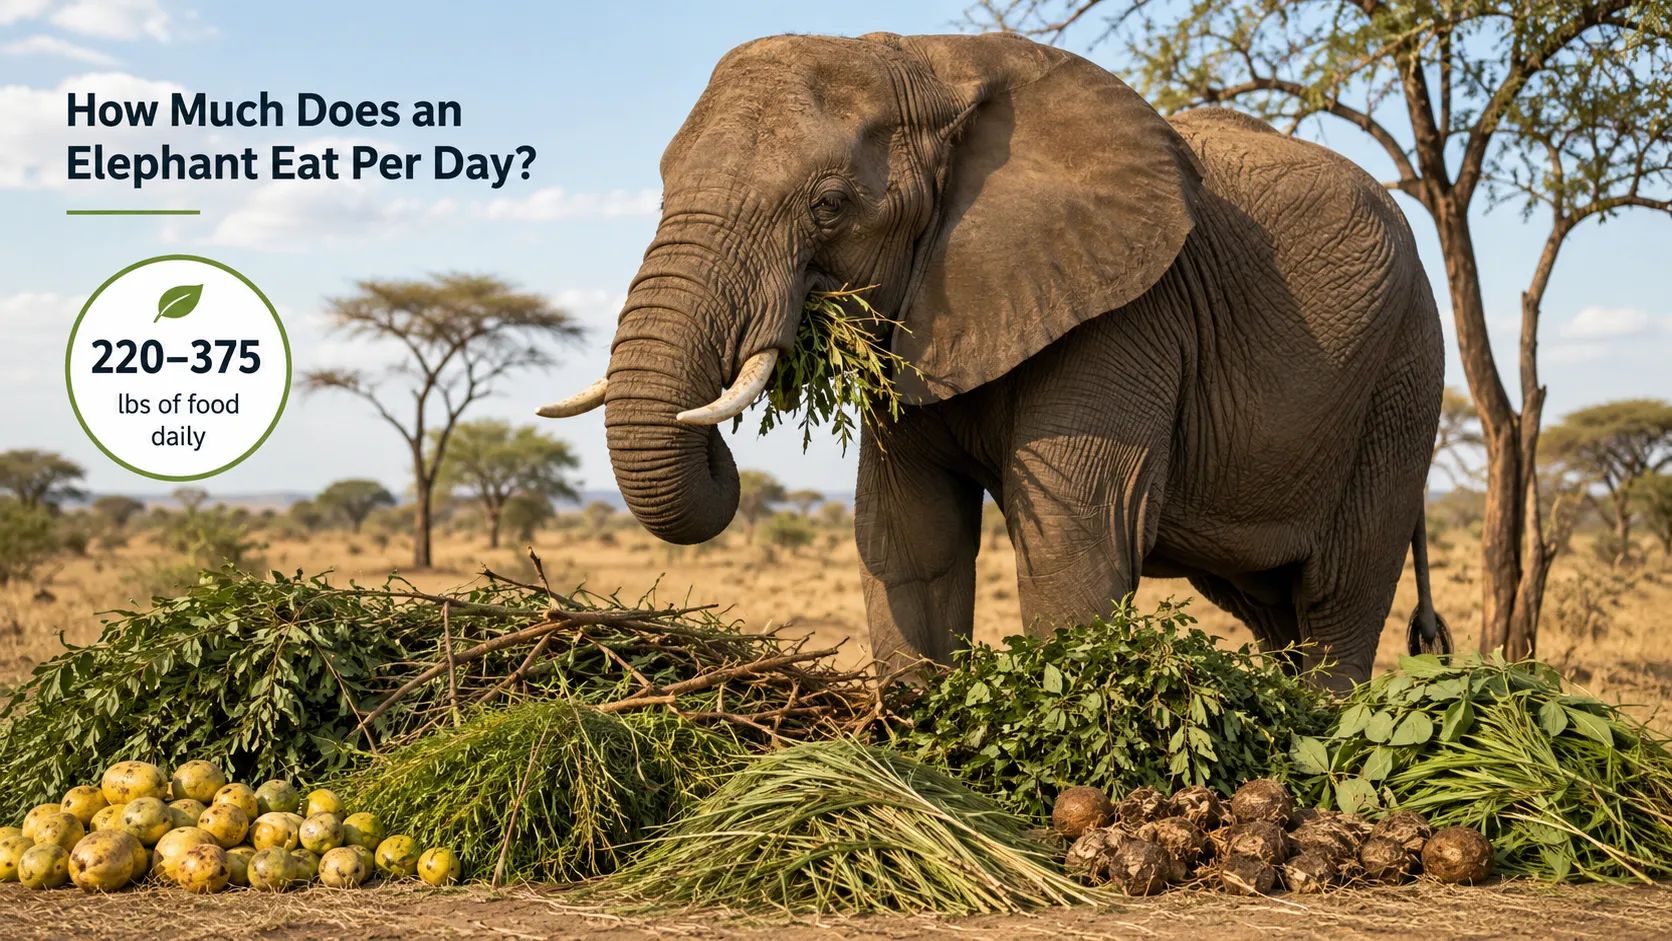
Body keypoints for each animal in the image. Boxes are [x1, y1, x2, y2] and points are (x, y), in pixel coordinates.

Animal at [539, 31, 1453, 690]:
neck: (931, 62)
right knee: (1271, 606)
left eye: (829, 205)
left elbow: (1078, 536)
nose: (722, 446)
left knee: (1337, 593)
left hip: (1404, 374)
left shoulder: (1128, 311)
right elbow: (908, 536)